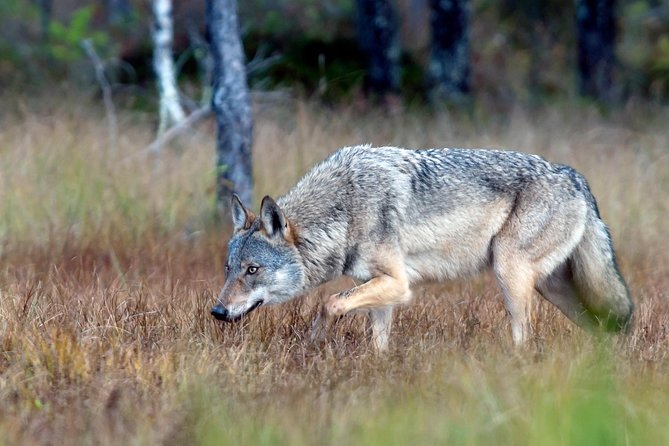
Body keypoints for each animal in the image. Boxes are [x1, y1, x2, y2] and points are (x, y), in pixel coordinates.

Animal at [211, 145, 636, 350]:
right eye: (229, 269)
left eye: (253, 270)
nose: (217, 311)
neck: (346, 208)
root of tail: (576, 176)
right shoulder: (379, 289)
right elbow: (376, 341)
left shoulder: (399, 285)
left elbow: (329, 303)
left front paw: (313, 343)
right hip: (554, 288)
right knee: (602, 326)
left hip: (509, 273)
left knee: (526, 336)